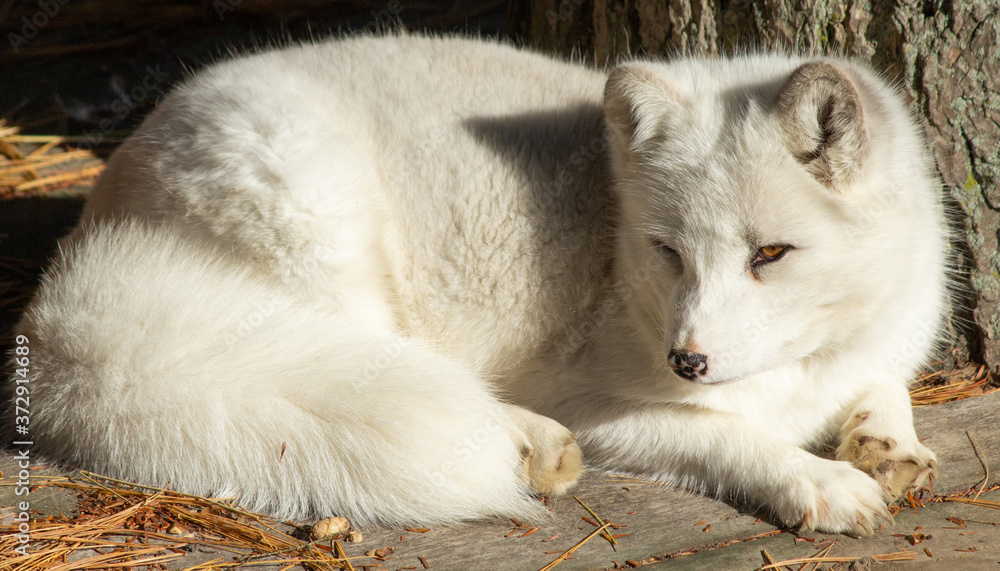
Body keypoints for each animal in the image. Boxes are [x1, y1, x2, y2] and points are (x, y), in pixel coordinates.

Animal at [12, 33, 947, 535]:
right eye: (668, 251)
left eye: (771, 254)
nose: (686, 361)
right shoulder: (601, 400)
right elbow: (732, 437)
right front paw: (819, 480)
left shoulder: (880, 345)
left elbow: (885, 385)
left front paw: (884, 440)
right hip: (325, 223)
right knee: (384, 369)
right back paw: (526, 445)